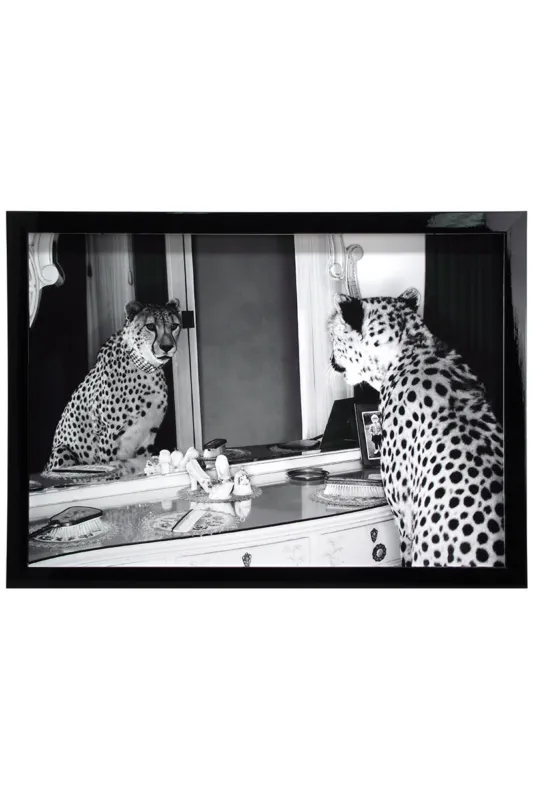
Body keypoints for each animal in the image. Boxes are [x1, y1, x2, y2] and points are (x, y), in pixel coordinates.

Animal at [44, 299, 182, 477]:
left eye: (174, 326)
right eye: (150, 326)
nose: (167, 346)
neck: (145, 367)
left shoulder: (148, 433)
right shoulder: (107, 433)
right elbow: (108, 462)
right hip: (62, 451)